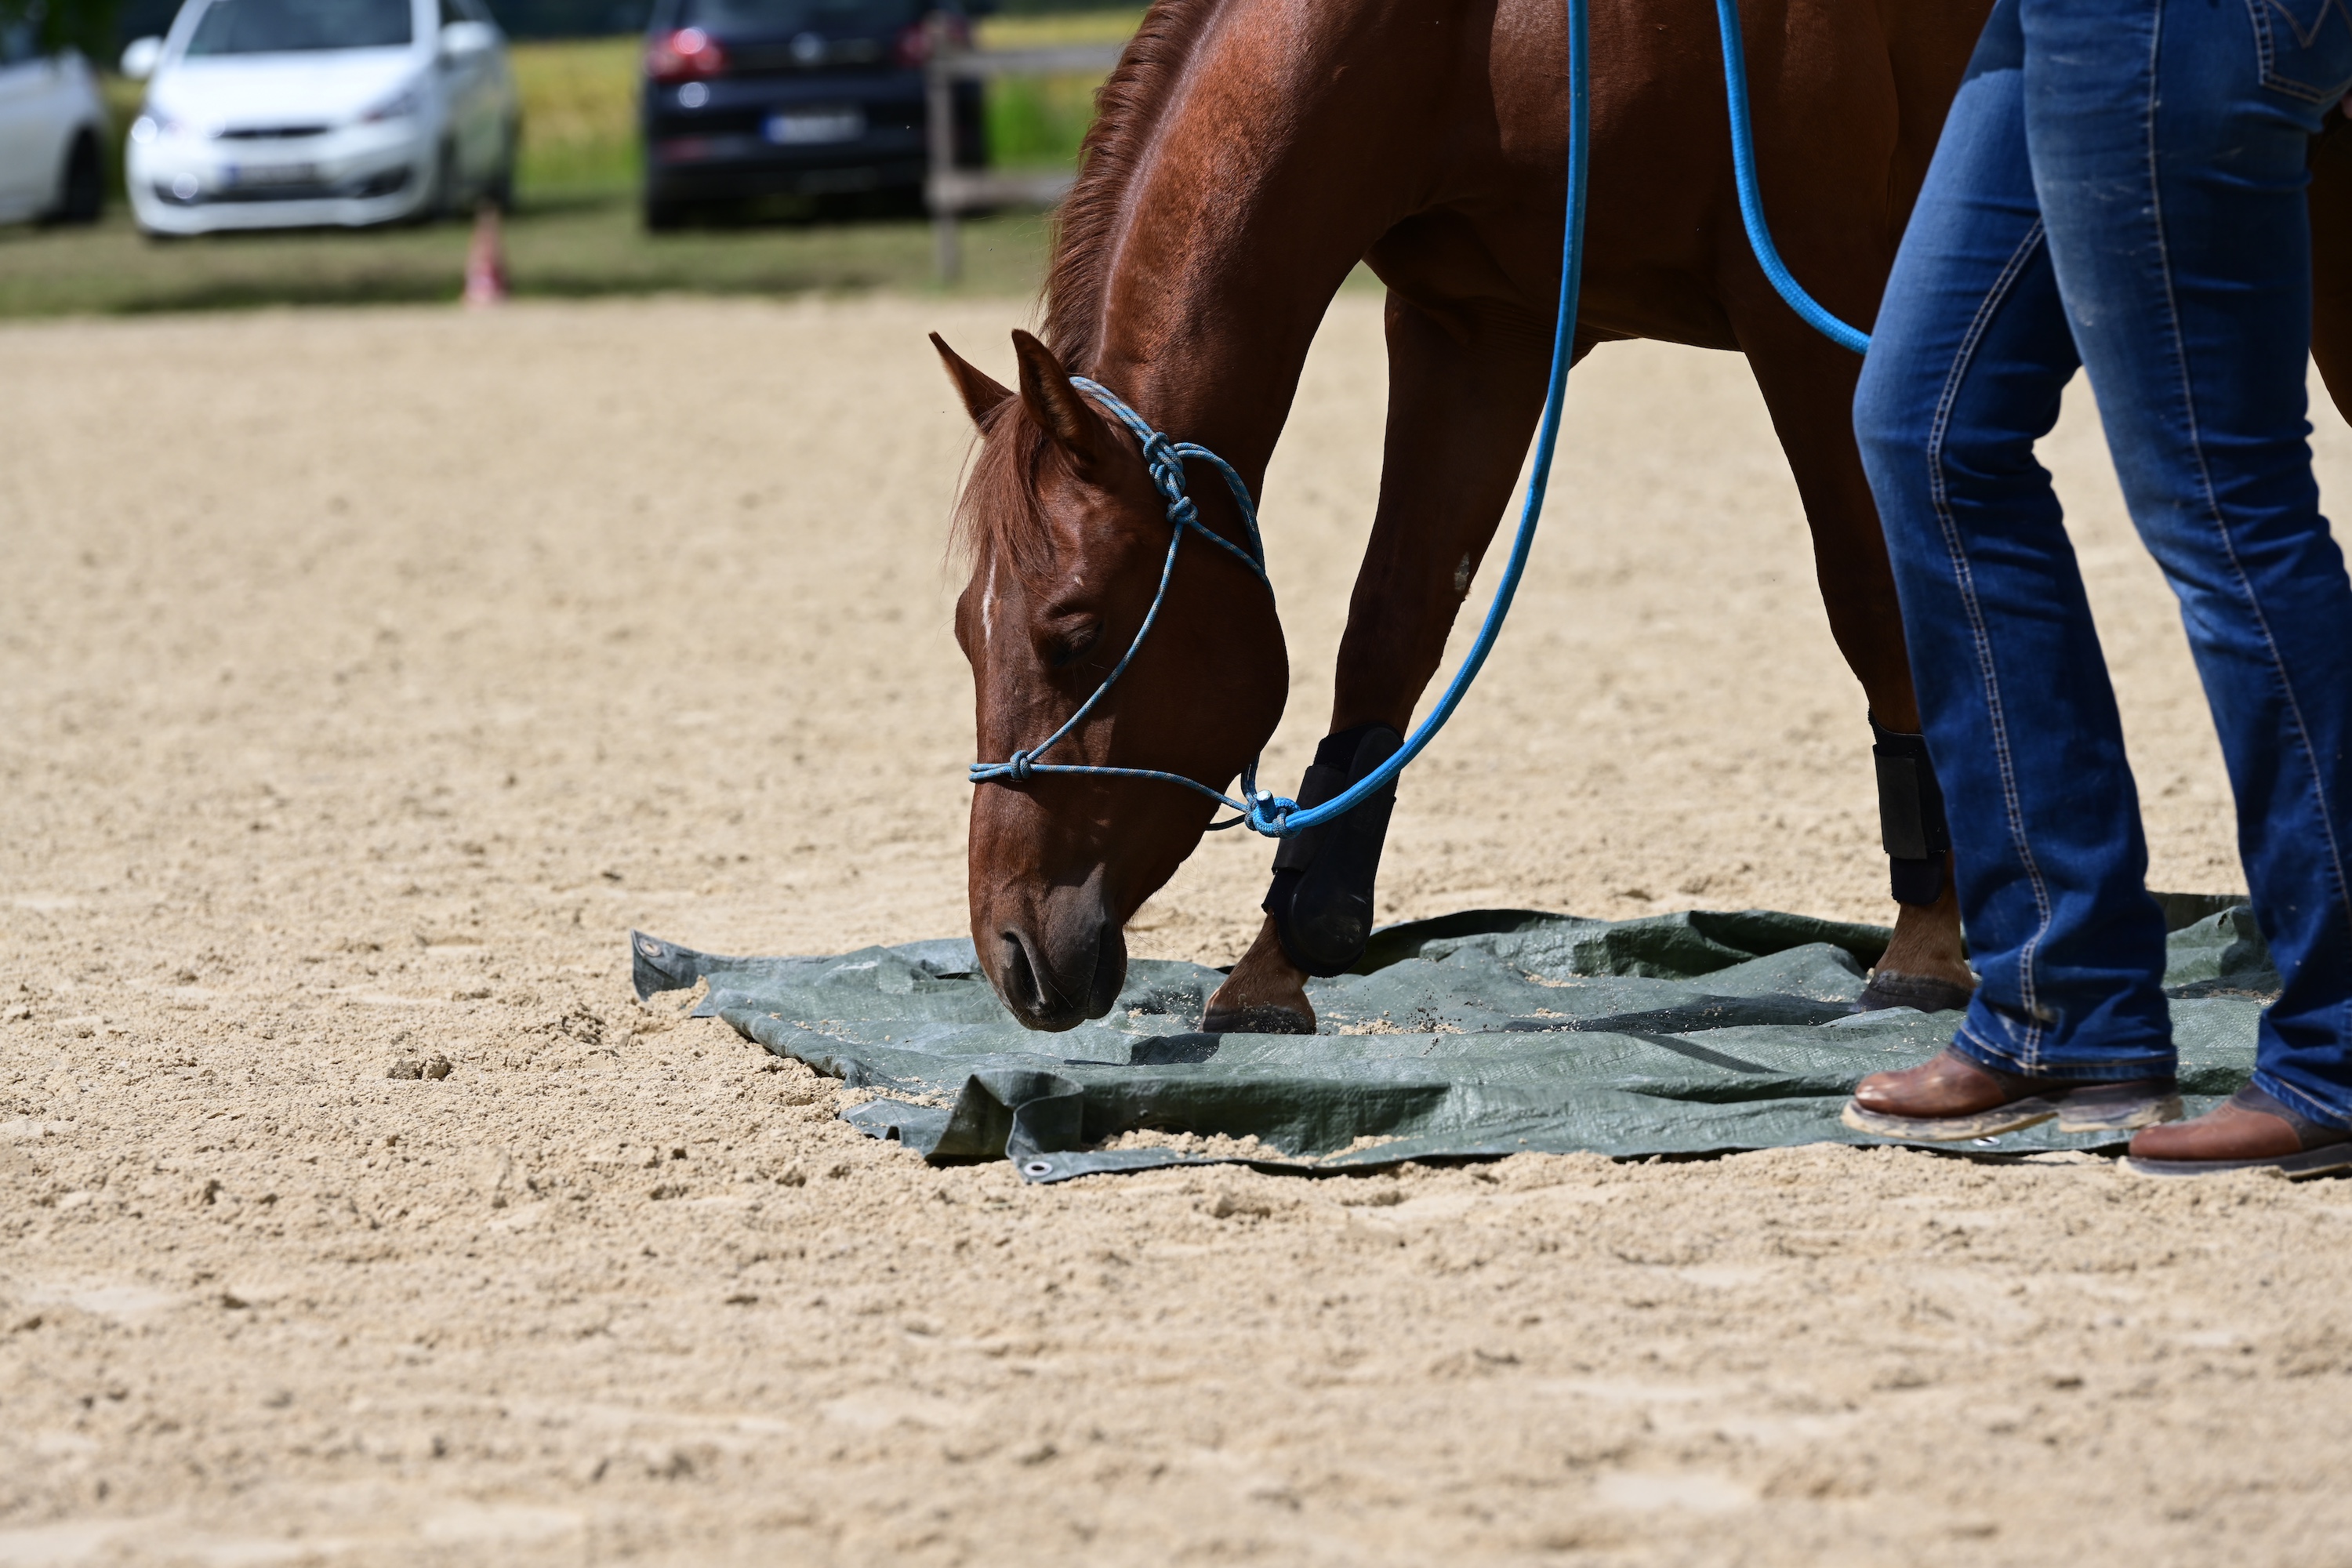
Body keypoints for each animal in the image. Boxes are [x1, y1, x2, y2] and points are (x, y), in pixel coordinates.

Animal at [932, 0, 2352, 1033]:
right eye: (964, 632)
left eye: (1071, 632)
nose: (1012, 954)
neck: (1481, 34)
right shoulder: (1475, 325)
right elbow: (1389, 626)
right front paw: (1281, 958)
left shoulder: (1808, 303)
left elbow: (1867, 594)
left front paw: (1929, 946)